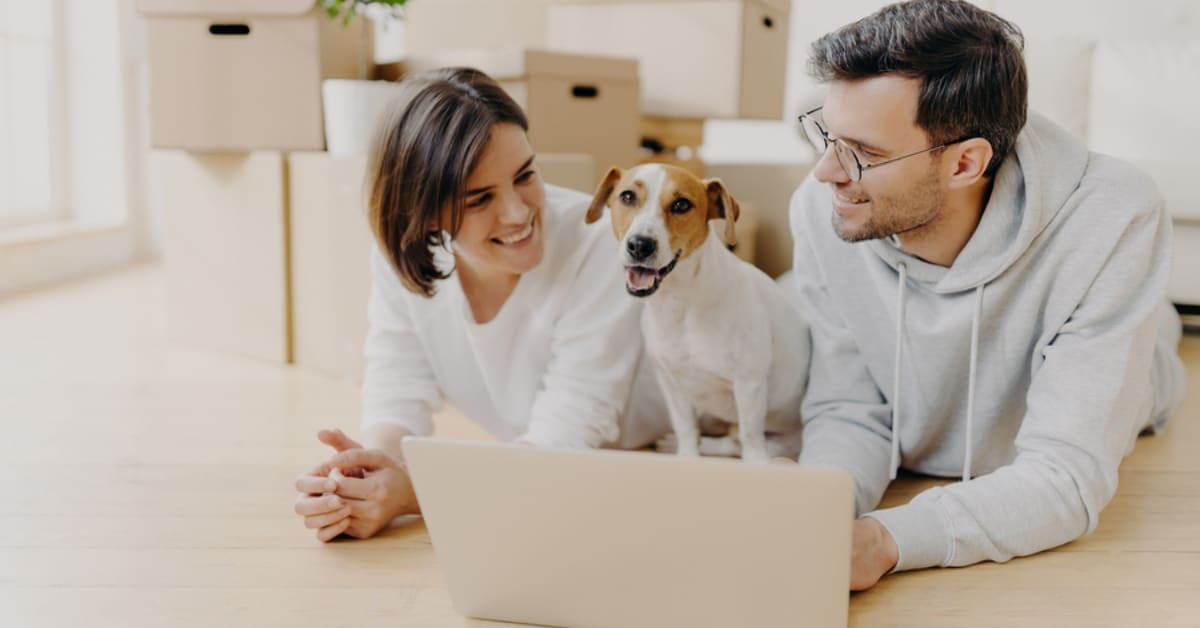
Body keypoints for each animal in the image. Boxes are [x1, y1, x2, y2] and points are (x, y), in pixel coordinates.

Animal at [585, 164, 811, 463]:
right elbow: (686, 429)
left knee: (737, 443)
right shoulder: (672, 384)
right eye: (627, 196)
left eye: (681, 204)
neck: (682, 303)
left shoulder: (749, 384)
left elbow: (750, 438)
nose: (640, 245)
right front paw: (687, 457)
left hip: (785, 439)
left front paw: (755, 463)